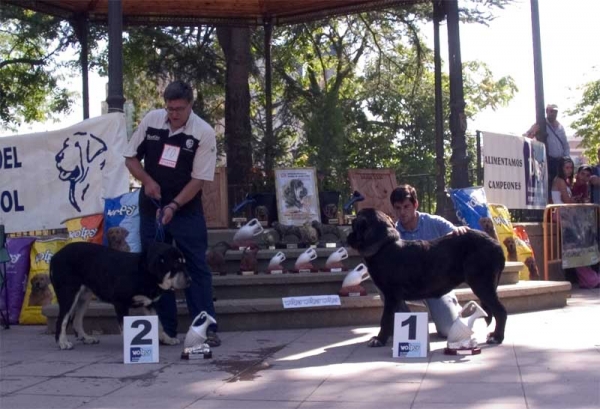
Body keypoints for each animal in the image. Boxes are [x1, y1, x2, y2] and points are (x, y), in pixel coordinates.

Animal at [49, 241, 190, 350]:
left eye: (184, 263)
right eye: (176, 264)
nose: (190, 279)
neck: (143, 272)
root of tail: (54, 256)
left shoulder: (149, 304)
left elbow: (159, 324)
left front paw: (167, 339)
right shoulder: (120, 303)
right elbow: (125, 328)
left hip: (85, 297)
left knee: (76, 320)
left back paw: (86, 338)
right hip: (69, 294)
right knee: (62, 320)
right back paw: (62, 342)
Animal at [346, 209, 506, 346]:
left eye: (354, 225)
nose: (348, 235)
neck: (384, 246)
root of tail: (497, 245)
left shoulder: (391, 295)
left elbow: (385, 319)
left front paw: (379, 339)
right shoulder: (394, 298)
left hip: (482, 285)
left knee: (500, 311)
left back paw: (497, 337)